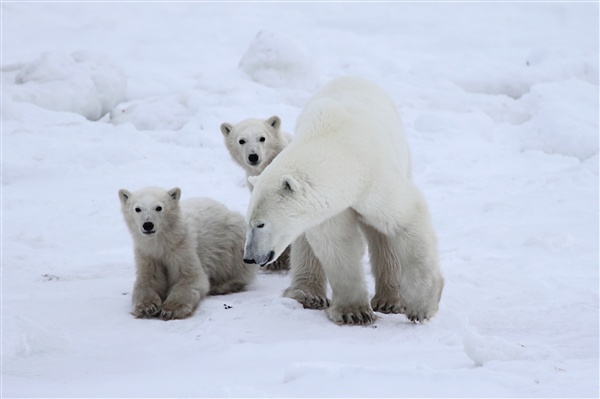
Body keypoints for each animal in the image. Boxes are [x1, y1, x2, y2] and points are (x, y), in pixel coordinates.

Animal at [244, 77, 446, 324]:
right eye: (249, 221)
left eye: (260, 224)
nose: (249, 257)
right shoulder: (329, 205)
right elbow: (336, 242)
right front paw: (354, 312)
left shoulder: (374, 178)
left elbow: (405, 217)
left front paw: (421, 308)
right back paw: (307, 294)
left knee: (384, 239)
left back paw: (389, 300)